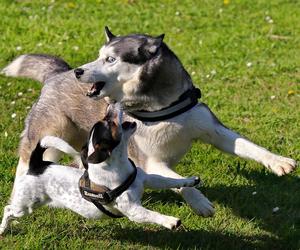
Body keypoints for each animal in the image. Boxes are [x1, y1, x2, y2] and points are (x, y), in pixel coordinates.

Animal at [1, 27, 296, 217]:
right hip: (47, 136)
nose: (79, 71)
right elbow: (178, 181)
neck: (162, 108)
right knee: (27, 163)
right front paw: (200, 201)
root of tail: (57, 73)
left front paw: (278, 161)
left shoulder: (213, 130)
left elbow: (246, 146)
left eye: (110, 59)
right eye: (99, 55)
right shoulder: (150, 161)